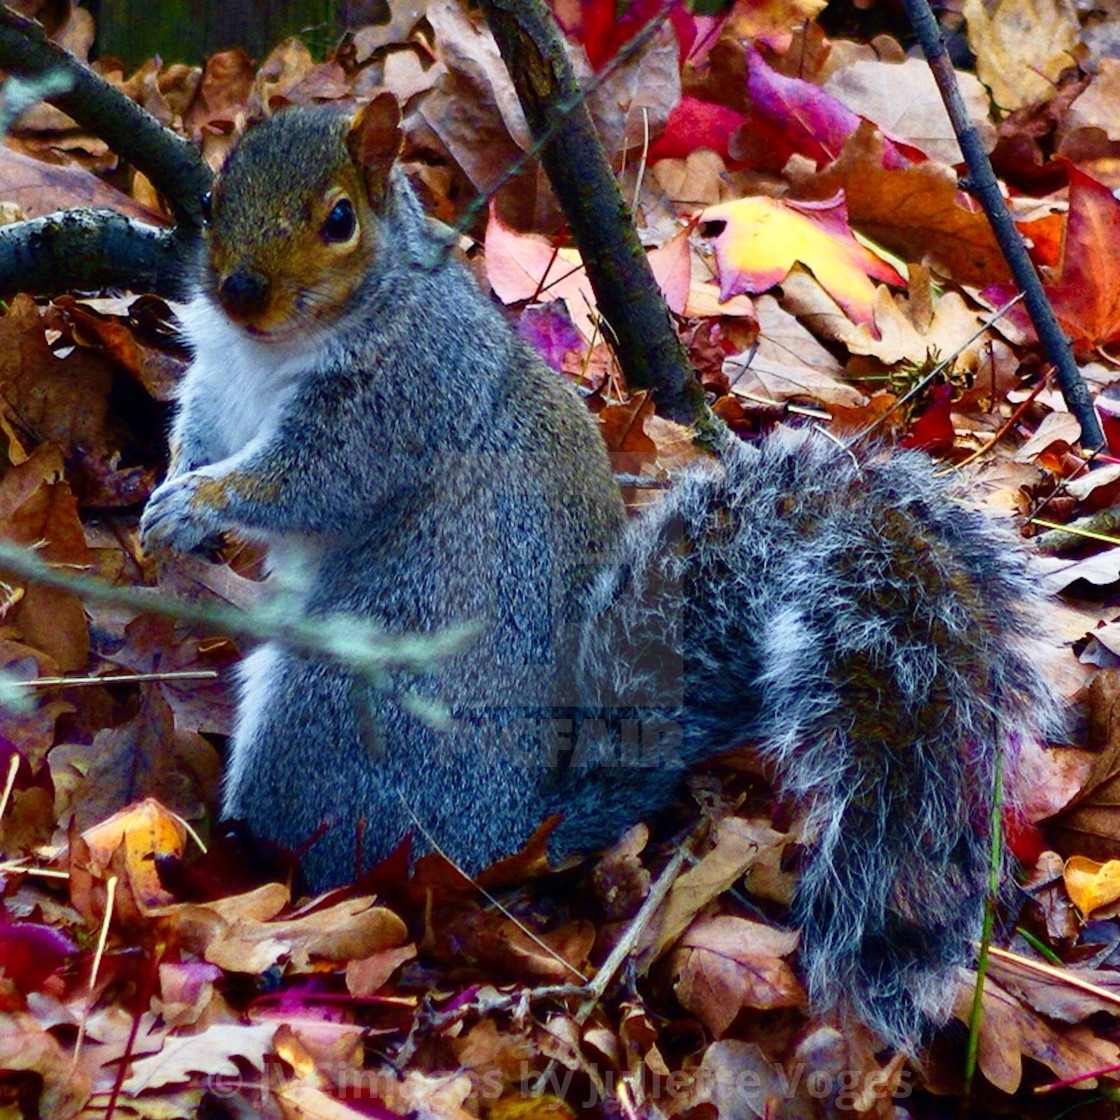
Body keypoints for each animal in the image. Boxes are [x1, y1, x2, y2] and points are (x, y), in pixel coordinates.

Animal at [142, 96, 1066, 1048]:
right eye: (211, 198)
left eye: (338, 220)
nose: (238, 292)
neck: (277, 345)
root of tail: (506, 841)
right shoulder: (220, 380)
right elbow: (203, 429)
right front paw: (173, 490)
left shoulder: (397, 400)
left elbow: (309, 481)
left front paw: (201, 504)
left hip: (335, 700)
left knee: (303, 842)